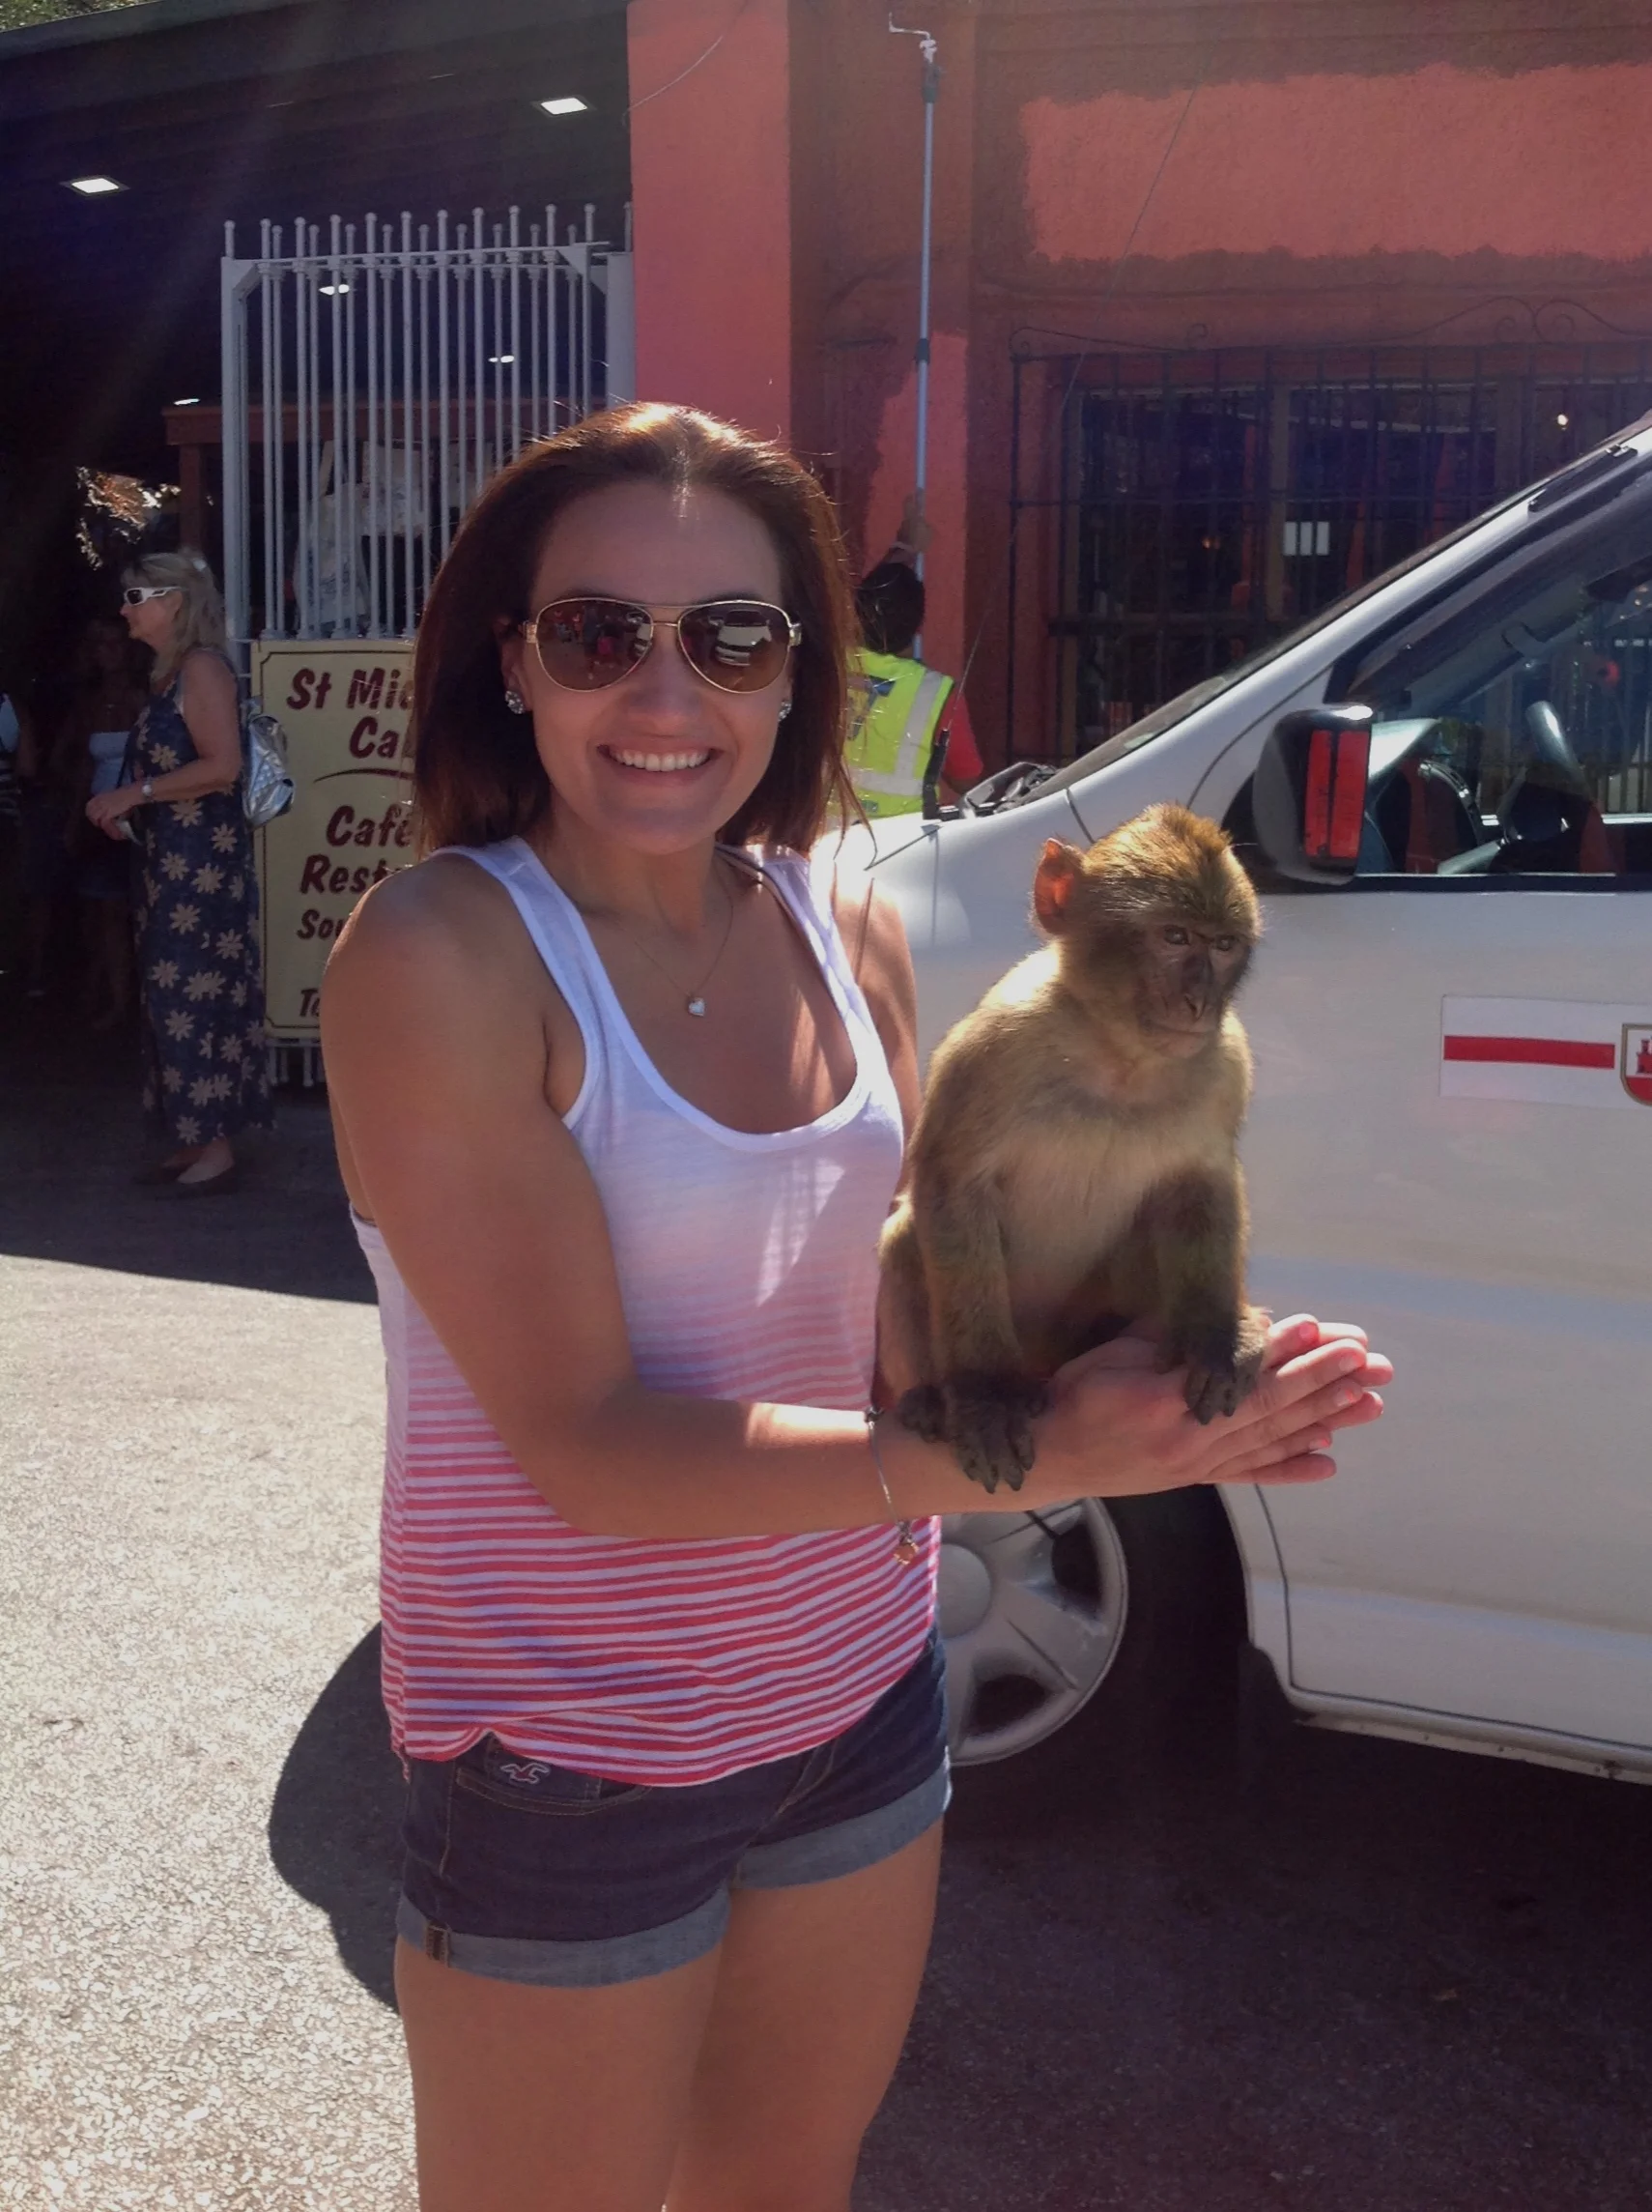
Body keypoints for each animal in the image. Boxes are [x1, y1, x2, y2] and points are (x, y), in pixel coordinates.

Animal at [880, 805, 1265, 1495]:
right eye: (1174, 938)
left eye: (1223, 946)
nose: (1198, 1003)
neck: (1119, 1058)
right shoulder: (993, 1048)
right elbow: (952, 1186)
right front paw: (987, 1396)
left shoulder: (1226, 1062)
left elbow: (1201, 1184)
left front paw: (1213, 1333)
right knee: (905, 1235)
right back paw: (928, 1395)